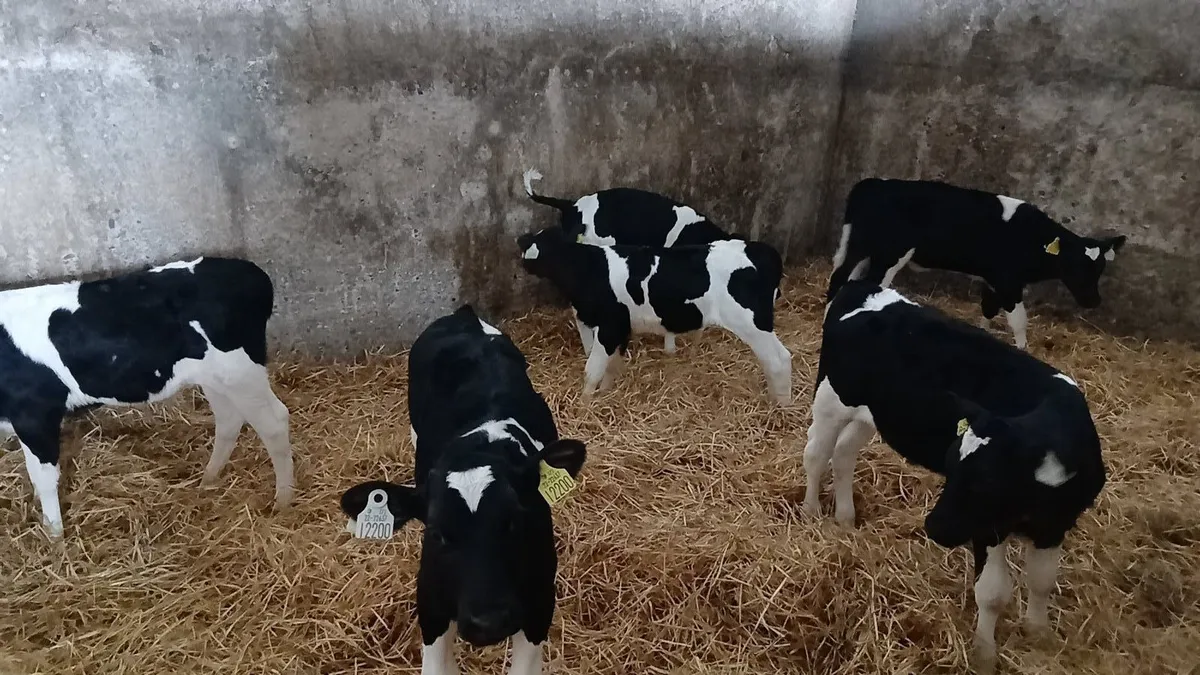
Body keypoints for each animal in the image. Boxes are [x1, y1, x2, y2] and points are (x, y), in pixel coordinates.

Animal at [0, 257, 294, 539]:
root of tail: (251, 272)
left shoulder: (35, 414)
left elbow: (45, 478)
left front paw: (54, 536)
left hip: (241, 371)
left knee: (274, 423)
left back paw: (283, 500)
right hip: (216, 377)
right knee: (229, 419)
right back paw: (208, 479)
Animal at [339, 305, 587, 675]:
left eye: (514, 522)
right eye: (437, 533)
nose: (489, 622)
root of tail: (465, 315)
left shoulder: (540, 603)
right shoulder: (430, 604)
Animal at [516, 227, 791, 404]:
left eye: (536, 247)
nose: (522, 252)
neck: (589, 270)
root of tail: (761, 250)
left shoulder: (608, 326)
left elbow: (592, 369)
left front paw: (584, 404)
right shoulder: (621, 327)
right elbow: (612, 366)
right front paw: (605, 394)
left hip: (752, 323)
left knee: (777, 360)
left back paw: (779, 407)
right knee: (780, 358)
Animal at [801, 280, 1106, 673]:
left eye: (988, 482)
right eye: (951, 469)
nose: (935, 527)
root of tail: (862, 288)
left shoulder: (1056, 524)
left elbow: (1042, 581)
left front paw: (1039, 633)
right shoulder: (987, 528)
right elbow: (992, 593)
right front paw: (984, 653)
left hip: (871, 415)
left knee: (842, 455)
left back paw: (845, 517)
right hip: (830, 400)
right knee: (816, 455)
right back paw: (810, 512)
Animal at [826, 178, 1127, 349]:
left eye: (1100, 268)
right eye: (1077, 266)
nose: (1094, 301)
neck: (1031, 238)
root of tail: (872, 183)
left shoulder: (993, 281)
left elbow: (988, 310)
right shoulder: (1008, 282)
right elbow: (1019, 320)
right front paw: (1022, 348)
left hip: (858, 247)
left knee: (842, 276)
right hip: (888, 254)